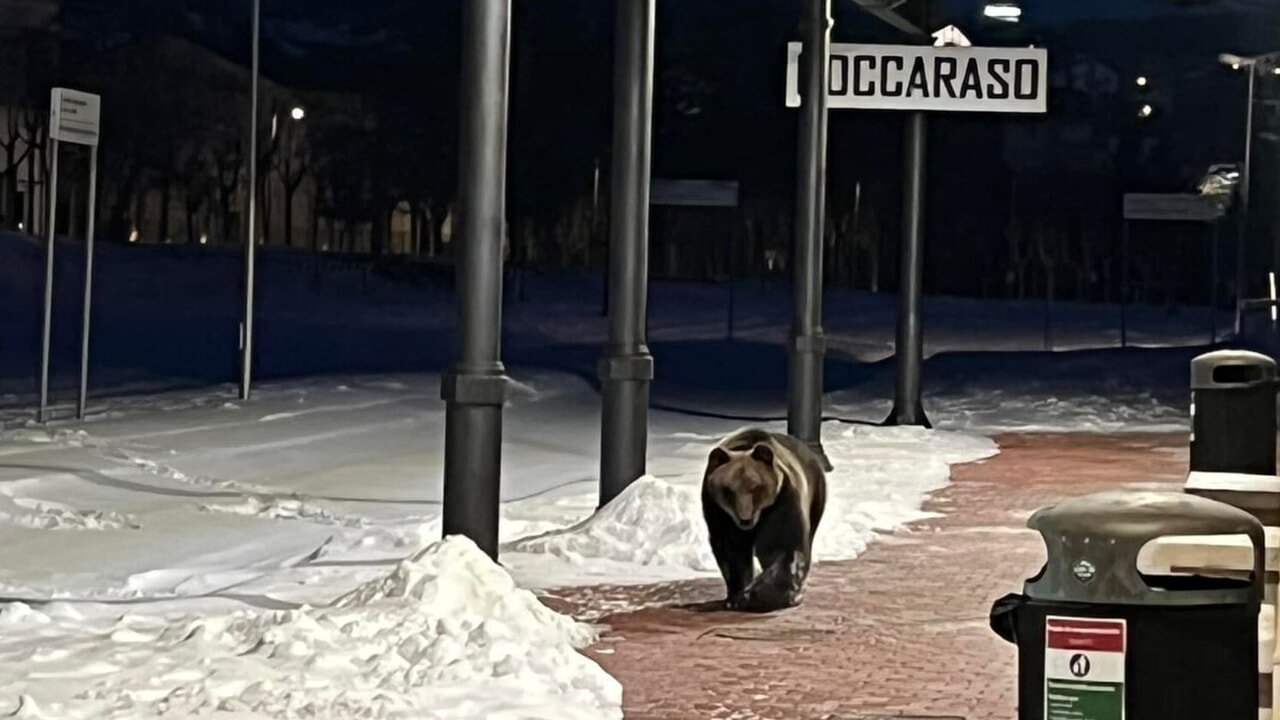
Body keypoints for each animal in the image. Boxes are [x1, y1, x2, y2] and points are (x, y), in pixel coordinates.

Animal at [701, 428, 827, 613]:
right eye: (728, 490)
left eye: (756, 487)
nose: (745, 519)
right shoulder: (719, 513)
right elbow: (732, 551)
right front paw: (736, 596)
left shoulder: (781, 502)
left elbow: (782, 547)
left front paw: (754, 596)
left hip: (815, 496)